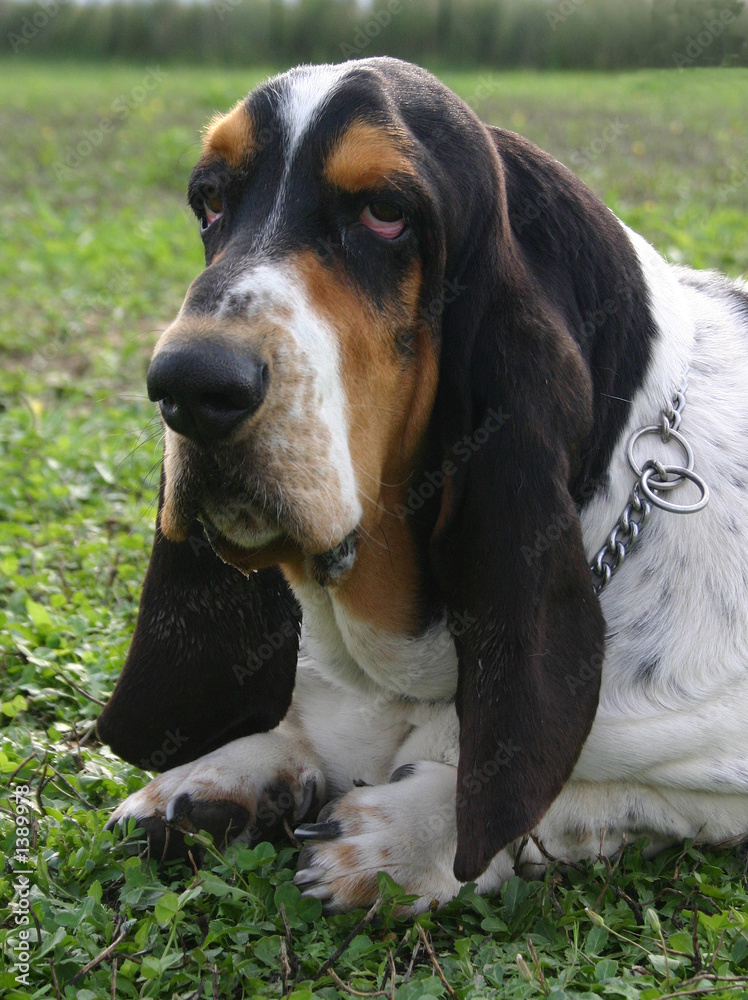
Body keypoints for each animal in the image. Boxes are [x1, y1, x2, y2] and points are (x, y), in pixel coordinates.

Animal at [99, 54, 748, 916]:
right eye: (209, 201)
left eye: (385, 213)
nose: (189, 386)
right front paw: (215, 775)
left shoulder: (702, 774)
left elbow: (567, 791)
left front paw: (404, 837)